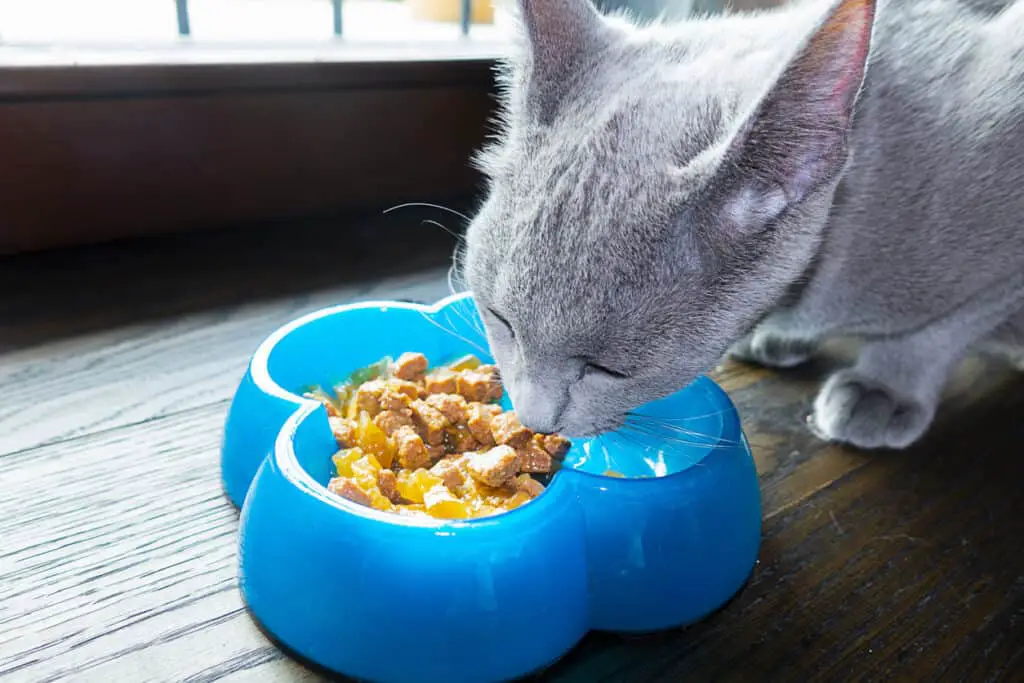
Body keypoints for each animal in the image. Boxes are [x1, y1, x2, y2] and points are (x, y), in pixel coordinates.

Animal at [462, 0, 1024, 450]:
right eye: (500, 320)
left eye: (606, 369)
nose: (534, 419)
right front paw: (776, 338)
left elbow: (940, 328)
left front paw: (884, 387)